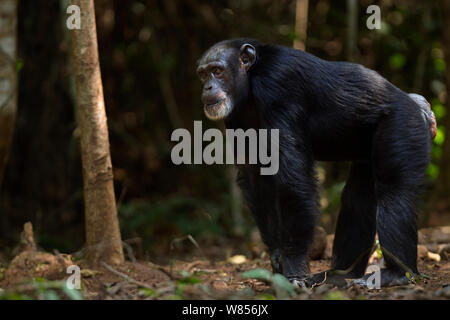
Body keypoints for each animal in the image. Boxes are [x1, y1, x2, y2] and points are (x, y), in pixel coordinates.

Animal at [197, 38, 436, 288]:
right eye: (203, 75)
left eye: (217, 71)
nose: (207, 87)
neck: (251, 79)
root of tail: (421, 106)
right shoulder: (235, 118)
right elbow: (255, 177)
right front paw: (277, 254)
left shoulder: (279, 85)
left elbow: (293, 179)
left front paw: (294, 266)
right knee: (357, 200)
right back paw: (340, 273)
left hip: (404, 124)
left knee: (394, 192)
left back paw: (397, 273)